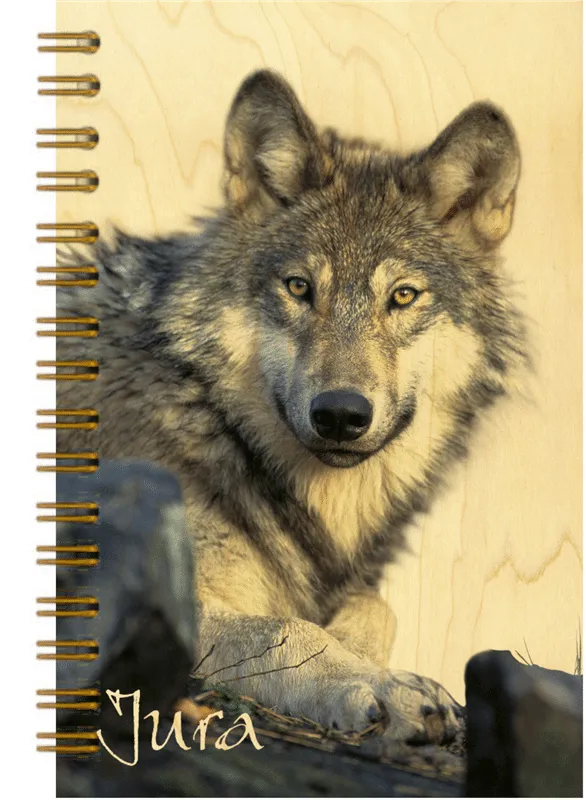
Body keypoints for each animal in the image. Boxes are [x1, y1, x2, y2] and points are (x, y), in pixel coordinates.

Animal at [57, 69, 524, 743]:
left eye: (402, 296)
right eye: (300, 288)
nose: (341, 414)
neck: (214, 420)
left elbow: (376, 608)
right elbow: (286, 628)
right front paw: (383, 686)